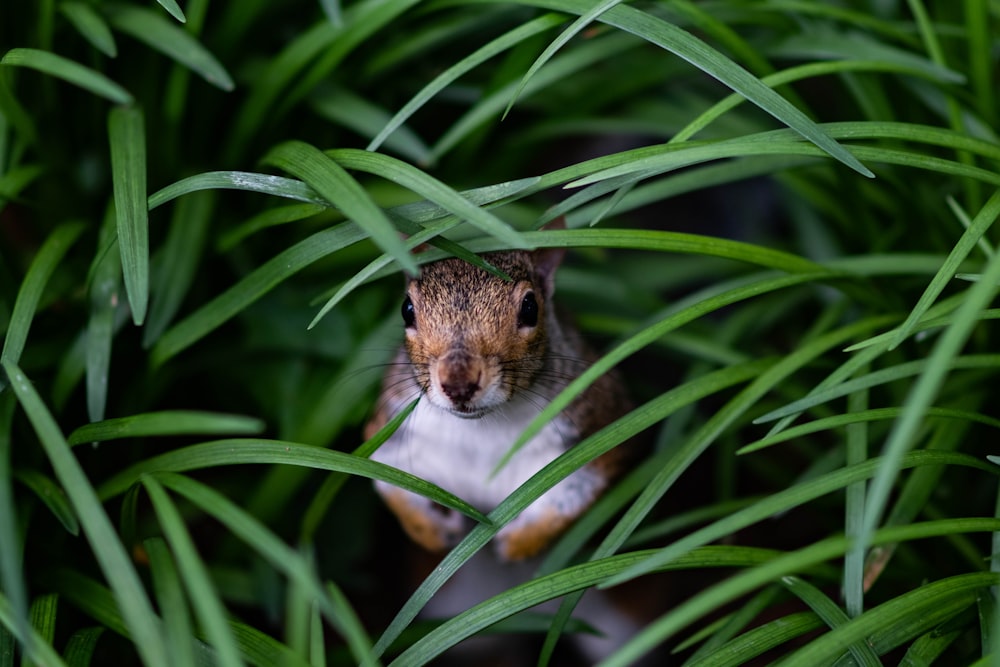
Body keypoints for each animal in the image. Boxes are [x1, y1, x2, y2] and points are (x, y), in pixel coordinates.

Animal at [366, 220, 632, 564]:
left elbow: (573, 500)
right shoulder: (392, 431)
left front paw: (518, 542)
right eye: (406, 309)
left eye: (530, 308)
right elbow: (392, 485)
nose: (459, 384)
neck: (481, 429)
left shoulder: (596, 428)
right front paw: (431, 530)